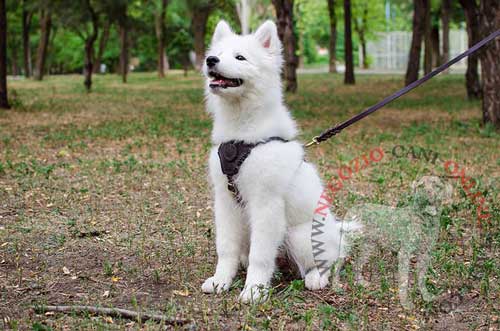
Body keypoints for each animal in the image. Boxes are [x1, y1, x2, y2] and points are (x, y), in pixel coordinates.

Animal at [201, 20, 354, 304]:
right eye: (218, 54)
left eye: (240, 57)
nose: (210, 60)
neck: (242, 135)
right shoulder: (225, 201)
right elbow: (226, 248)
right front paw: (220, 280)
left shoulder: (266, 204)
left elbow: (260, 256)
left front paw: (253, 290)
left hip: (299, 235)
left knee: (329, 260)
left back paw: (316, 278)